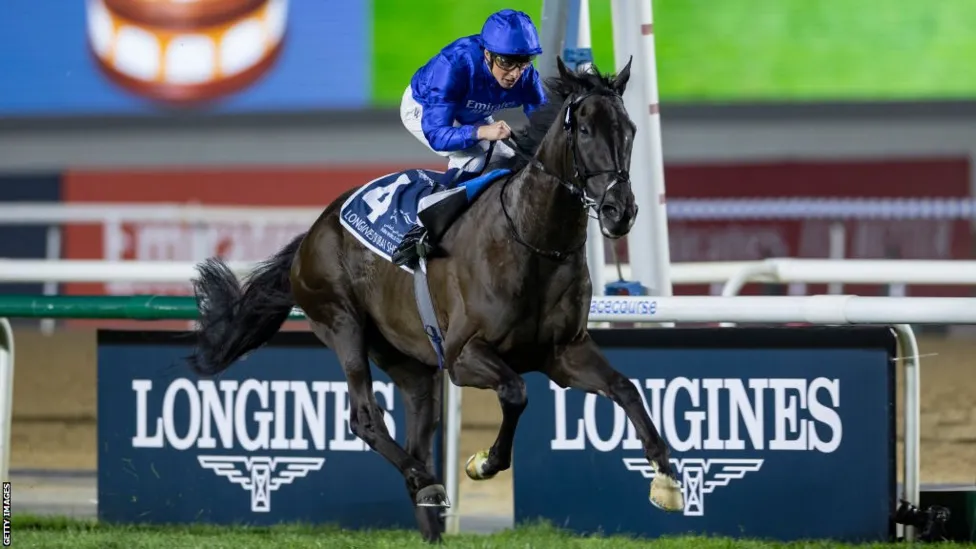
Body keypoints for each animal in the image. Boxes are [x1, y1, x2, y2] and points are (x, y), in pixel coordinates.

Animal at [186, 56, 684, 543]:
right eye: (583, 130)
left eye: (630, 129)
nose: (620, 211)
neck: (533, 241)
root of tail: (314, 230)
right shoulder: (463, 355)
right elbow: (515, 392)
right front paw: (483, 462)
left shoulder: (563, 352)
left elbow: (626, 388)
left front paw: (667, 479)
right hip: (342, 323)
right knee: (365, 418)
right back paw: (426, 480)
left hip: (411, 364)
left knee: (417, 437)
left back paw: (427, 502)